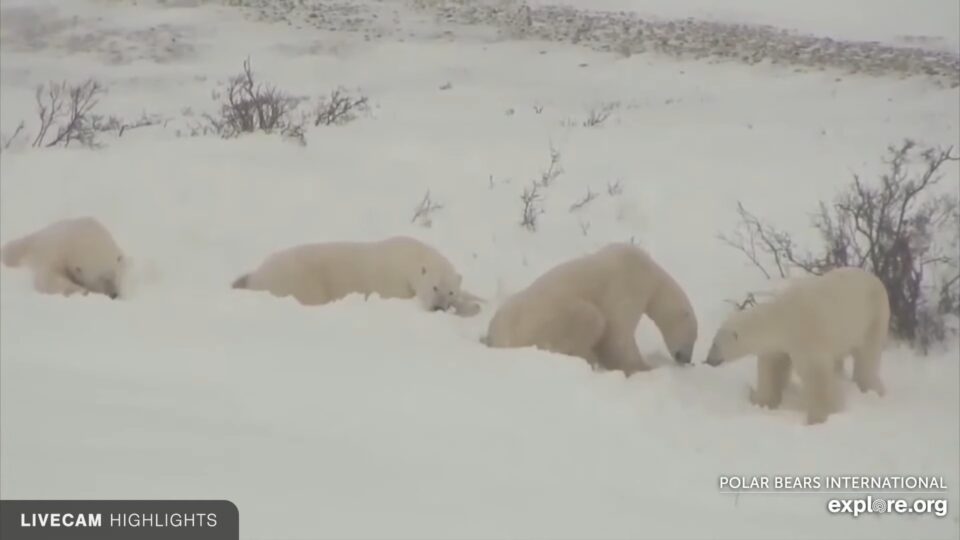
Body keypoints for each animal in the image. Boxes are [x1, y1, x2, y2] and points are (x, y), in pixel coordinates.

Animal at [231, 236, 483, 316]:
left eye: (450, 291)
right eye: (434, 287)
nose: (439, 307)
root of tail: (257, 275)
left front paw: (478, 300)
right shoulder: (393, 284)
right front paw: (470, 308)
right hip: (298, 279)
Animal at [484, 242, 699, 375]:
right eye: (693, 338)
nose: (687, 359)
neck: (653, 276)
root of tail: (496, 336)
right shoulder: (628, 283)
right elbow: (617, 334)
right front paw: (644, 367)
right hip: (543, 319)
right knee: (592, 317)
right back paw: (589, 357)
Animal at [704, 266, 890, 425]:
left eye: (715, 344)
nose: (708, 360)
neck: (782, 317)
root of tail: (876, 279)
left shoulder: (805, 336)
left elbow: (816, 375)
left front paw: (819, 417)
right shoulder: (780, 344)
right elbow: (772, 367)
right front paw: (762, 401)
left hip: (872, 318)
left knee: (867, 357)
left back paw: (872, 388)